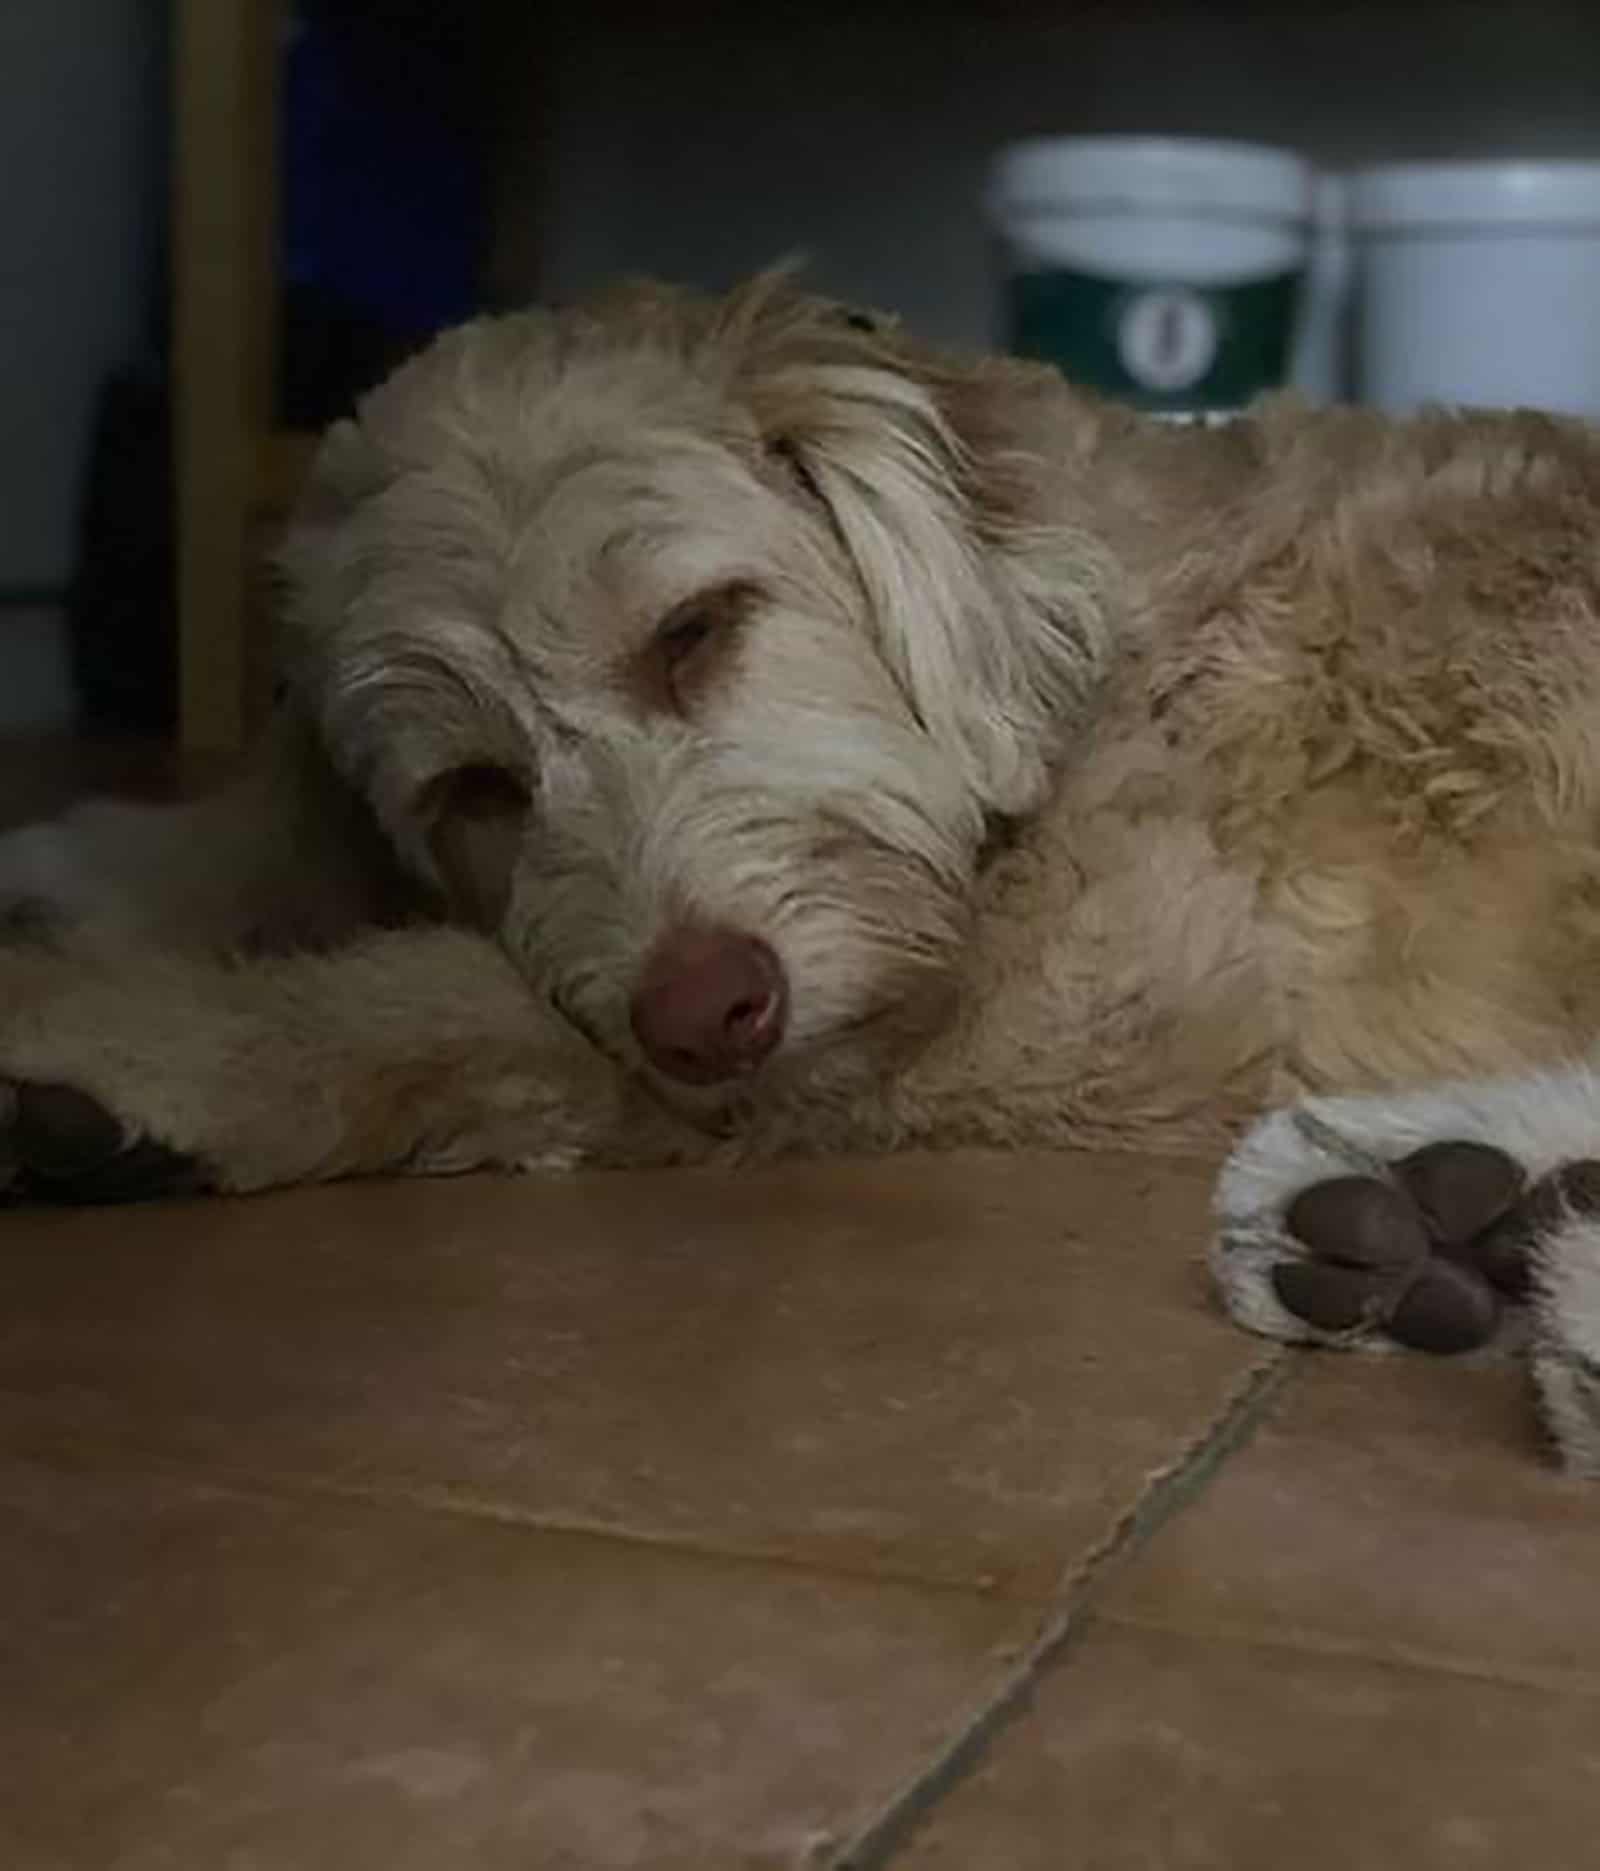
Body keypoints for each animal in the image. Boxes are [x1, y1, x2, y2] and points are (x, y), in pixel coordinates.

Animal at [9, 280, 1600, 1459]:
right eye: (475, 790)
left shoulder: (1039, 1002)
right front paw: (91, 860)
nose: (709, 1013)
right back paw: (1441, 1220)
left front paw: (128, 1043)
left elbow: (448, 997)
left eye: (697, 629)